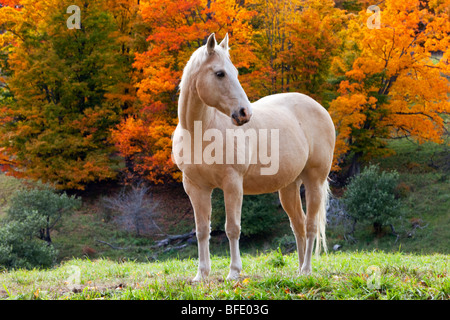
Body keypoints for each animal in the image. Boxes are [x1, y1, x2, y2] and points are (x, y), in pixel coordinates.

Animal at [172, 33, 334, 282]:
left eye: (235, 72)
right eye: (220, 73)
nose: (244, 113)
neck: (200, 132)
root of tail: (320, 109)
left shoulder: (232, 184)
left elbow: (232, 228)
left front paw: (234, 272)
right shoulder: (196, 187)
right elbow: (202, 230)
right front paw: (201, 275)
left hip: (314, 181)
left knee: (310, 226)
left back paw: (306, 270)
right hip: (289, 187)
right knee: (297, 225)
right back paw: (298, 272)